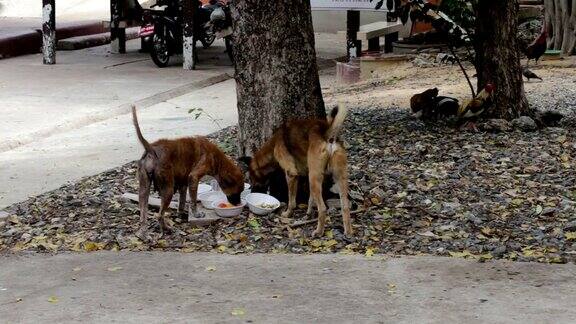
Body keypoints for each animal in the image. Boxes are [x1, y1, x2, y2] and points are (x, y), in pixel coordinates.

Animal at [242, 105, 352, 237]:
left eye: (251, 178)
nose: (252, 191)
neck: (273, 145)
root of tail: (326, 133)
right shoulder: (308, 173)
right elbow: (310, 198)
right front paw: (308, 214)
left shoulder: (291, 174)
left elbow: (291, 200)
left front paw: (288, 213)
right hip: (337, 177)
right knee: (345, 206)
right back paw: (348, 231)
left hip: (315, 178)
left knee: (322, 208)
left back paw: (319, 231)